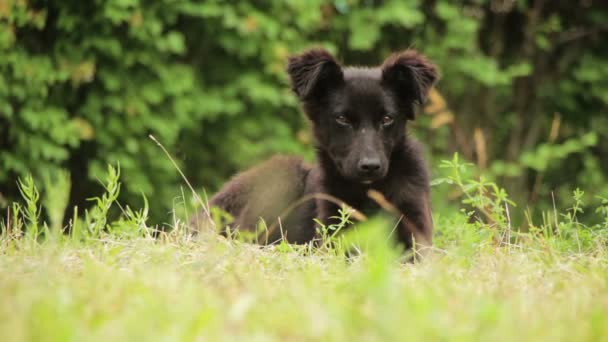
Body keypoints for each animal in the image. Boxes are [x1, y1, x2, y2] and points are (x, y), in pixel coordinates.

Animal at [195, 47, 436, 254]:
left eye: (387, 119)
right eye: (342, 119)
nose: (370, 166)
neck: (369, 190)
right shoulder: (332, 235)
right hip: (283, 175)